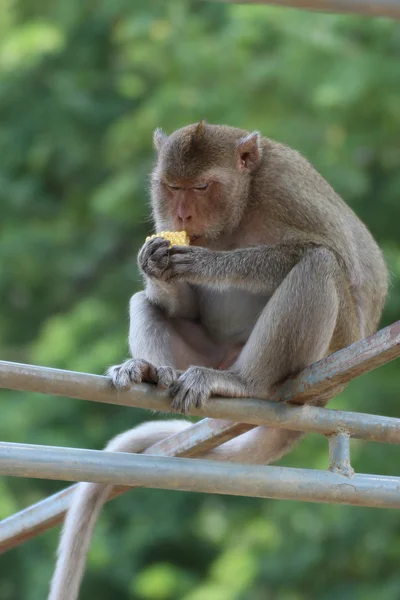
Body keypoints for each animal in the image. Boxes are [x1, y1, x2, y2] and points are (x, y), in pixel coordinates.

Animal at [47, 119, 388, 596]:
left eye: (203, 186)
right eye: (172, 187)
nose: (183, 217)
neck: (242, 204)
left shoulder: (285, 186)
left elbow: (330, 250)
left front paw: (204, 262)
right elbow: (175, 303)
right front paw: (153, 262)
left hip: (332, 346)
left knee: (319, 263)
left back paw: (245, 382)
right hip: (204, 353)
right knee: (146, 303)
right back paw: (149, 371)